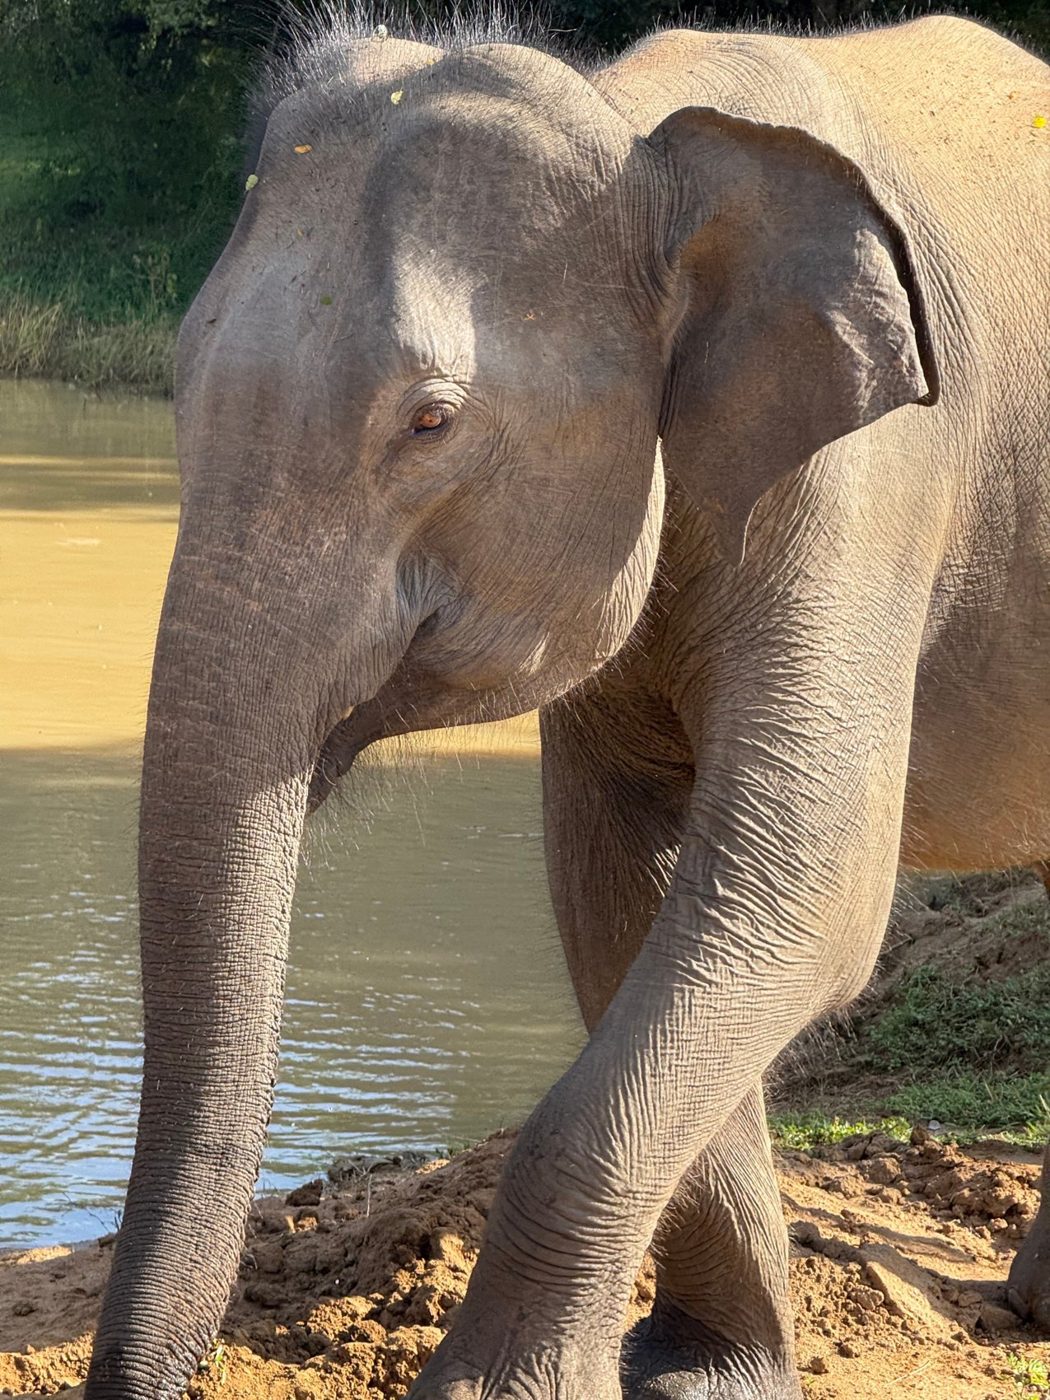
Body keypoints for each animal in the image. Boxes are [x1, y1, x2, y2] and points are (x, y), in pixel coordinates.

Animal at [84, 11, 1050, 1400]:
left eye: (431, 420)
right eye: (178, 373)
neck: (639, 131)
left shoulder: (870, 485)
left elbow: (804, 890)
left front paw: (492, 1391)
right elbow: (615, 887)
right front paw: (703, 1372)